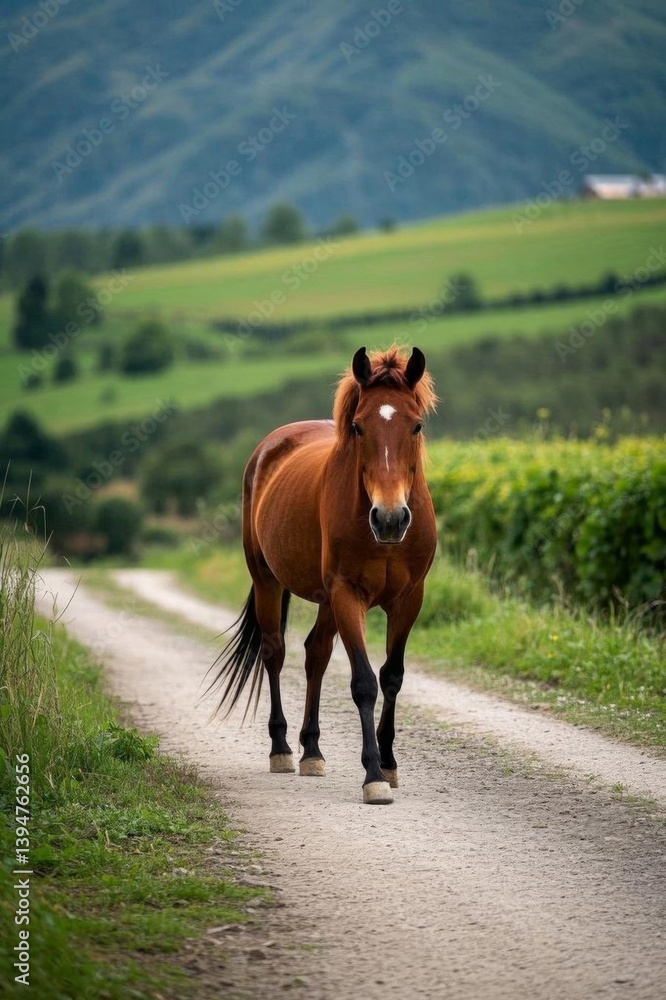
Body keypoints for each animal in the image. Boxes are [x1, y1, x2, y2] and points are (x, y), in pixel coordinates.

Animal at [209, 346, 438, 804]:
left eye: (417, 425)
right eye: (358, 427)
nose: (389, 519)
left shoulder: (408, 600)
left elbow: (392, 677)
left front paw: (389, 763)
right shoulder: (348, 594)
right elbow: (364, 682)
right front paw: (373, 777)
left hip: (326, 600)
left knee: (316, 653)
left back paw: (312, 750)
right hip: (268, 581)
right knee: (275, 652)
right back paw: (281, 749)